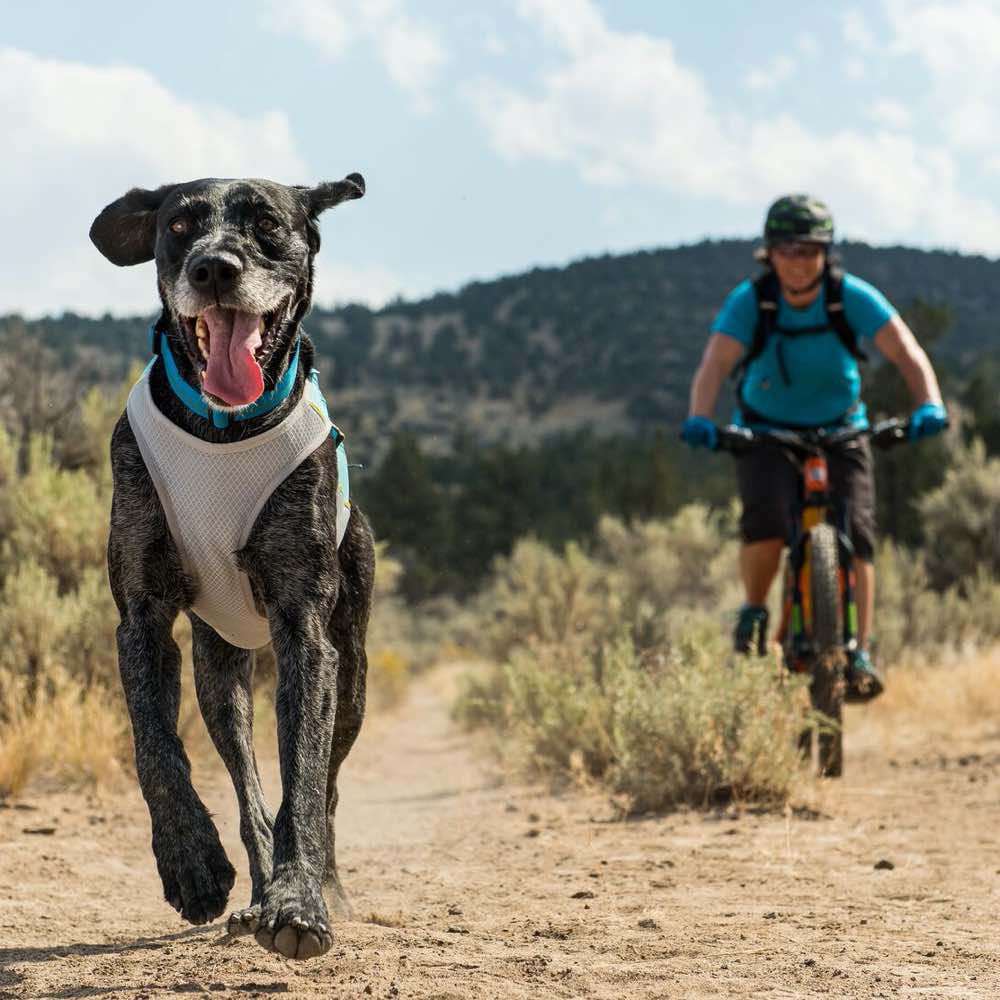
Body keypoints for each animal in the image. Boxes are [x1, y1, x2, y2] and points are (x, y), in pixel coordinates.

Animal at [91, 178, 376, 960]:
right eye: (179, 225)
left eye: (268, 223)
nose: (214, 268)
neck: (223, 428)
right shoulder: (141, 618)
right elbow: (154, 748)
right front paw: (191, 862)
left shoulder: (306, 629)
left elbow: (303, 777)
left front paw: (301, 904)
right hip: (221, 675)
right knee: (247, 789)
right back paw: (250, 890)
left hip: (353, 674)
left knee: (326, 787)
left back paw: (321, 887)